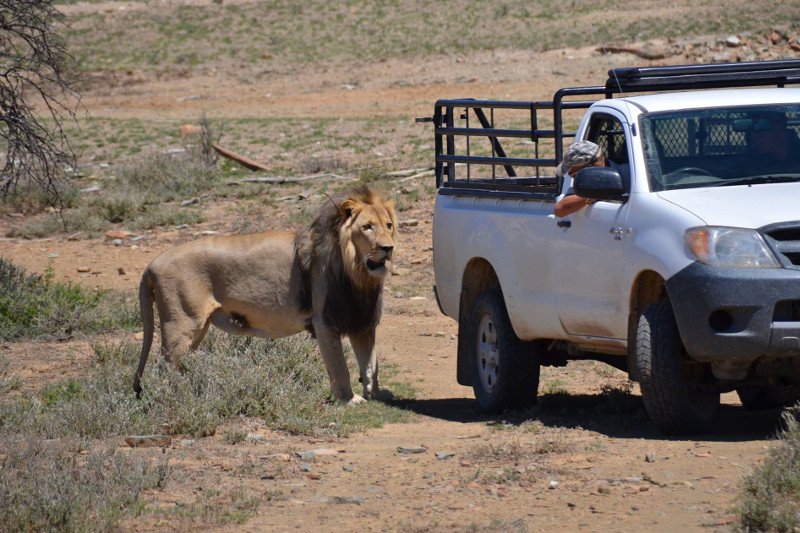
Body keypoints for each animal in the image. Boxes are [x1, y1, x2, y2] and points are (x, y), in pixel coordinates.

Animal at [133, 187, 398, 404]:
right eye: (367, 227)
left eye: (388, 225)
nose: (388, 248)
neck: (358, 274)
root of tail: (152, 263)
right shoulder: (326, 321)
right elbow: (339, 365)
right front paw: (349, 400)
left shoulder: (362, 321)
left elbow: (370, 364)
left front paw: (376, 395)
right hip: (182, 324)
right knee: (164, 367)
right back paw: (173, 397)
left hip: (196, 328)